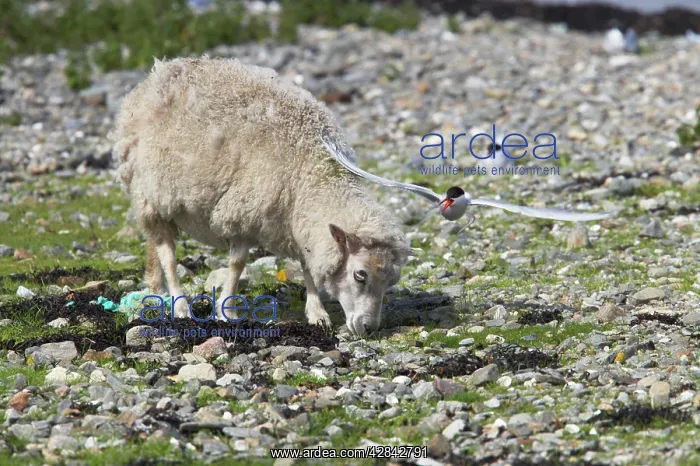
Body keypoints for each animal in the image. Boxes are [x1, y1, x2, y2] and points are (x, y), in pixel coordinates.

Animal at [111, 56, 411, 337]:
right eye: (360, 275)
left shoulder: (298, 220)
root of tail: (159, 71)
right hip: (149, 188)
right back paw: (180, 304)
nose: (370, 327)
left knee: (155, 243)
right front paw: (227, 311)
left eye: (390, 282)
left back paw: (157, 290)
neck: (312, 170)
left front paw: (317, 313)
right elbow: (237, 264)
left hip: (155, 200)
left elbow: (307, 266)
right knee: (168, 254)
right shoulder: (244, 211)